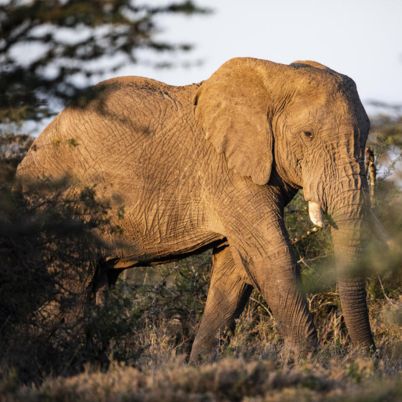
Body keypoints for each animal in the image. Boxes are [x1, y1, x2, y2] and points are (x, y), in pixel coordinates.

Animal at [16, 56, 384, 362]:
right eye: (307, 134)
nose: (369, 361)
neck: (275, 75)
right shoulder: (229, 176)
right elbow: (271, 256)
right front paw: (306, 365)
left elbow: (234, 269)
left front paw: (200, 367)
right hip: (58, 207)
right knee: (71, 292)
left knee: (97, 288)